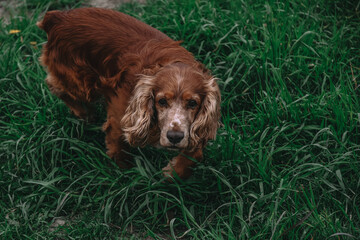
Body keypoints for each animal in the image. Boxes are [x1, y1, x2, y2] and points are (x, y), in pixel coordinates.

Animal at [38, 7, 221, 179]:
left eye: (192, 103)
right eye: (161, 101)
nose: (174, 137)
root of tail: (57, 16)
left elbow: (195, 154)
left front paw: (173, 174)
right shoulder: (119, 120)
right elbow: (119, 149)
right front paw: (124, 174)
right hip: (81, 83)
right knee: (54, 86)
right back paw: (85, 113)